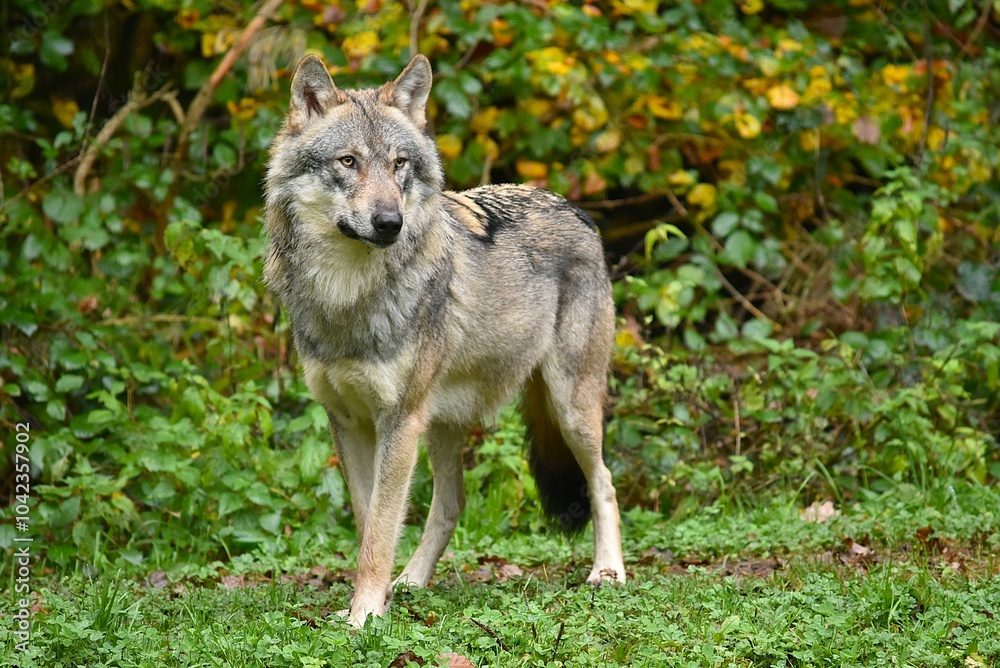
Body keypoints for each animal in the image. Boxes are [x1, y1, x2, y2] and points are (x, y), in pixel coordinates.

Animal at [263, 53, 626, 626]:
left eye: (399, 164)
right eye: (348, 161)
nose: (390, 222)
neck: (348, 296)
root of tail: (574, 208)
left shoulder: (397, 419)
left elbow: (380, 531)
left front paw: (364, 616)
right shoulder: (348, 421)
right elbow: (370, 526)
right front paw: (373, 603)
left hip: (569, 407)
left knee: (604, 482)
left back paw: (608, 572)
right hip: (440, 424)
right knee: (453, 504)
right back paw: (410, 583)